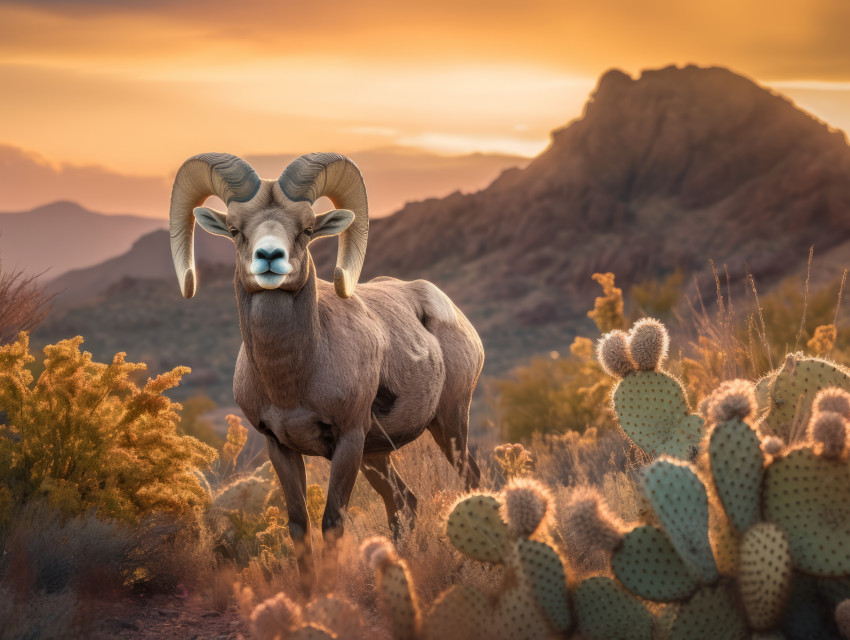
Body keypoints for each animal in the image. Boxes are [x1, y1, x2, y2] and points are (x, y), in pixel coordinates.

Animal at [169, 152, 484, 590]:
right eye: (234, 230)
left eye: (306, 230)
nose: (270, 257)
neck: (292, 384)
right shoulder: (279, 447)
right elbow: (299, 524)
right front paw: (306, 595)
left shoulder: (347, 441)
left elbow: (332, 521)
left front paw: (330, 594)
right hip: (378, 455)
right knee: (403, 503)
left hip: (449, 423)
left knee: (471, 481)